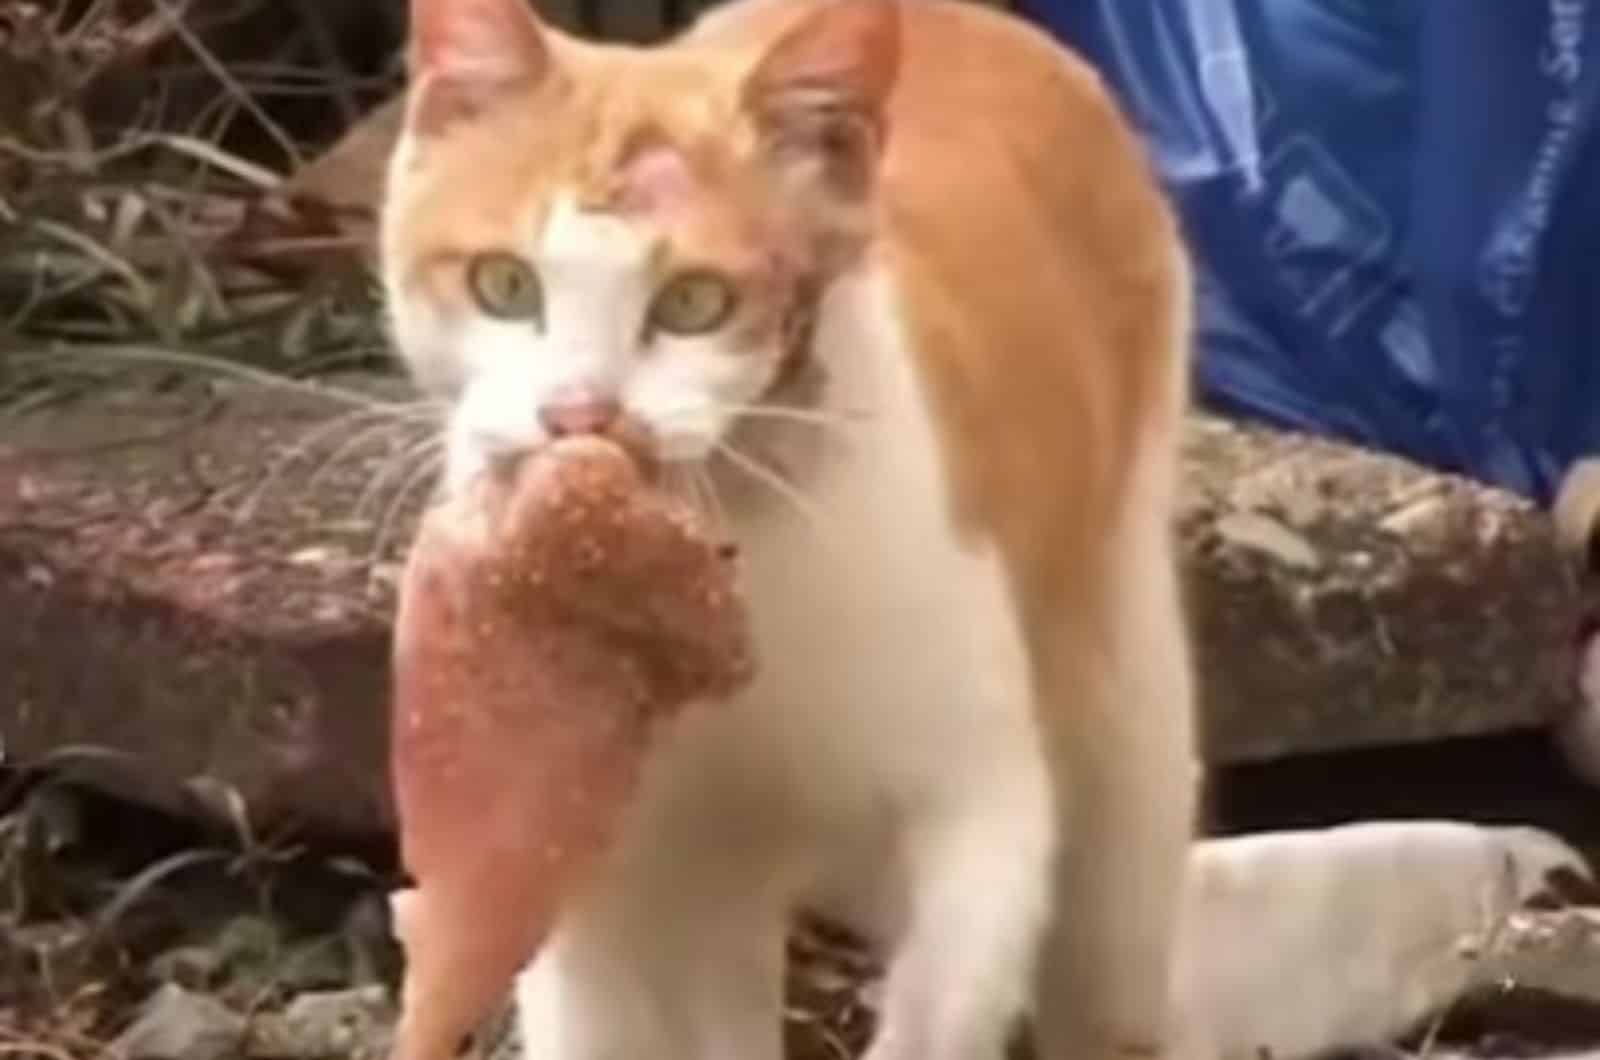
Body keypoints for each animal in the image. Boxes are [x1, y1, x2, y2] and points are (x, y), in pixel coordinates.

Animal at [377, 2, 1203, 1060]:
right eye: (505, 286)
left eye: (695, 302)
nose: (580, 415)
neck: (739, 537)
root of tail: (983, 21)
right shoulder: (593, 849)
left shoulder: (982, 804)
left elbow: (942, 1000)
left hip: (1124, 659)